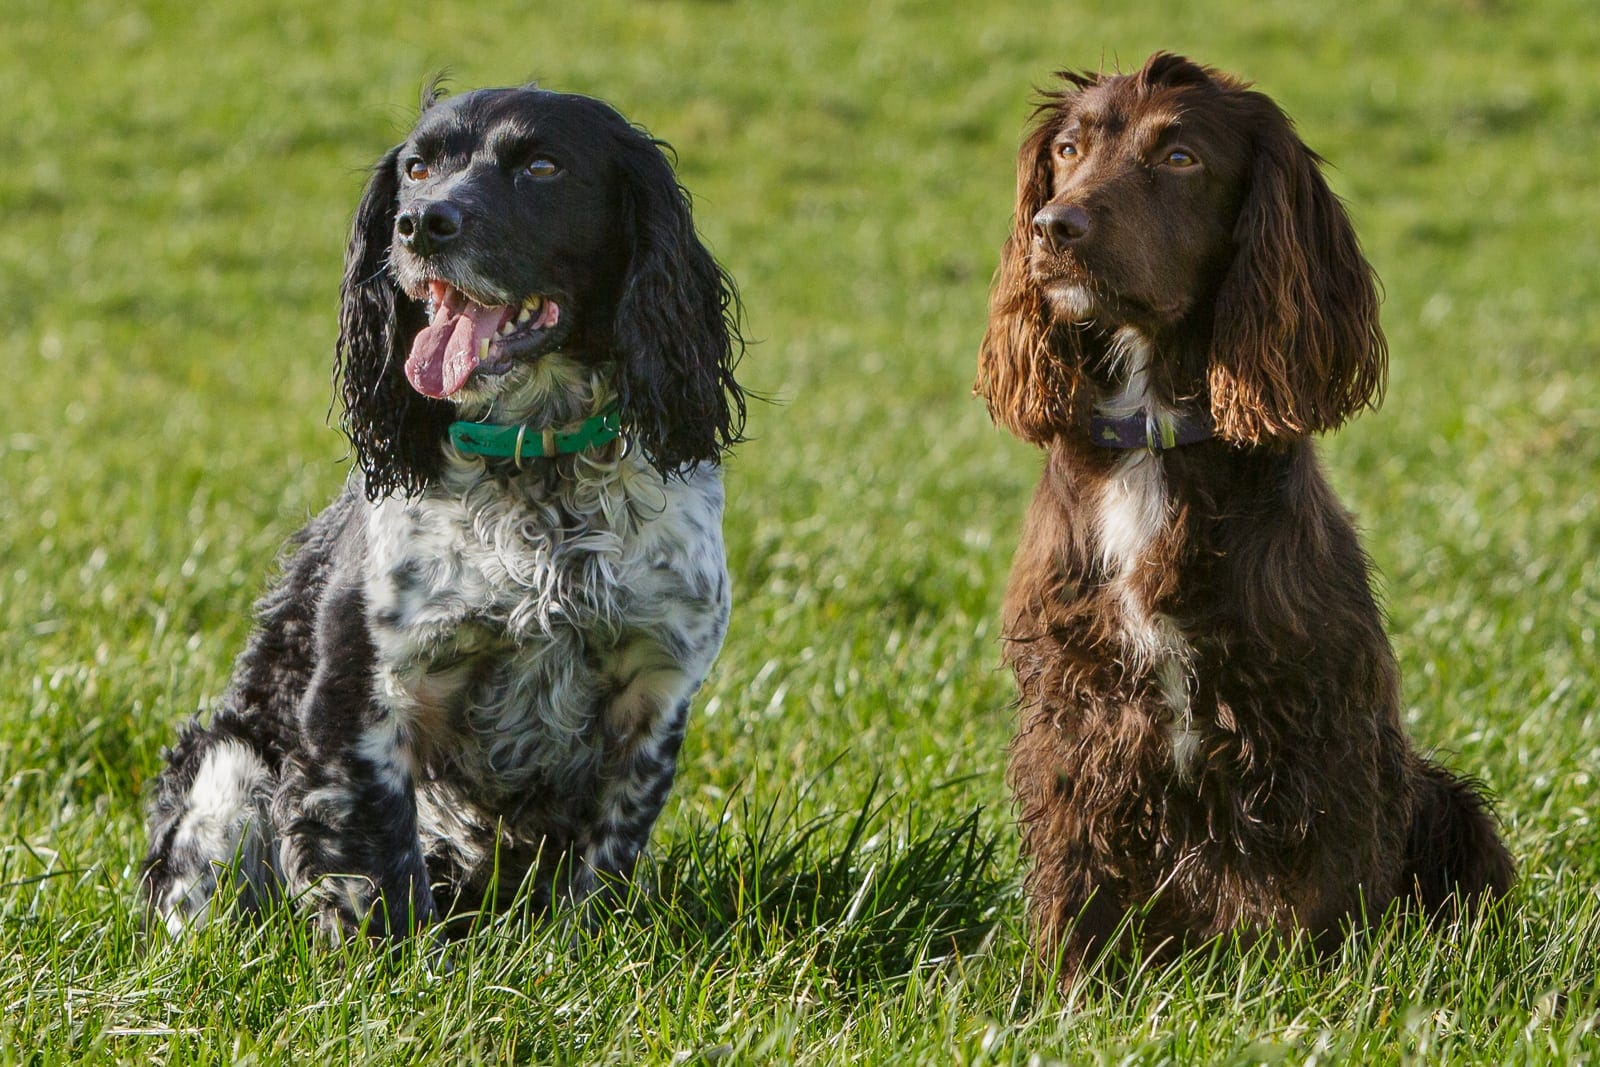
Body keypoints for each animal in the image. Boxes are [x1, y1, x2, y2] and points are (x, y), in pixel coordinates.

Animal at [140, 85, 745, 940]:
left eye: (543, 167)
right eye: (419, 168)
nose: (422, 223)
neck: (537, 475)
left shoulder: (653, 693)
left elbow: (601, 872)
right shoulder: (361, 701)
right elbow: (378, 879)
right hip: (228, 768)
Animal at [972, 54, 1510, 979]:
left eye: (1180, 157)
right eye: (1068, 149)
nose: (1054, 226)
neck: (1154, 434)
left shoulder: (1314, 706)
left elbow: (1324, 880)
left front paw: (1321, 990)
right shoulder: (1071, 699)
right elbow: (1073, 872)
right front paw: (1061, 990)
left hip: (1444, 800)